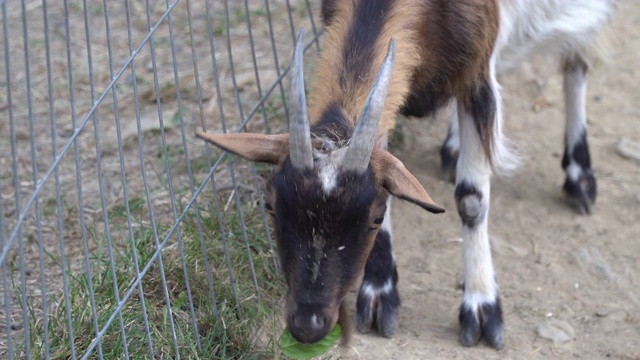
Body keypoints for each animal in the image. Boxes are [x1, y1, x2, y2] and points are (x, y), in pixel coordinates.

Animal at [196, 0, 616, 348]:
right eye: (270, 206)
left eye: (372, 217)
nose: (308, 326)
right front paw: (379, 293)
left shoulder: (479, 71)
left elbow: (472, 199)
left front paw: (481, 308)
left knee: (578, 58)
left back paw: (579, 176)